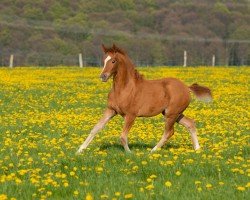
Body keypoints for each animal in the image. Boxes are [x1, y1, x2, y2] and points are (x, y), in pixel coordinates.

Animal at [75, 44, 211, 154]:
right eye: (104, 60)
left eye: (113, 61)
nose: (103, 76)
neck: (124, 89)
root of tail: (187, 87)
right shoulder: (111, 110)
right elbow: (95, 129)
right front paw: (79, 150)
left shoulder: (131, 115)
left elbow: (123, 136)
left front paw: (129, 153)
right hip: (174, 114)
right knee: (190, 124)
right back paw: (197, 149)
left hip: (171, 114)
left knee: (169, 132)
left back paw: (153, 150)